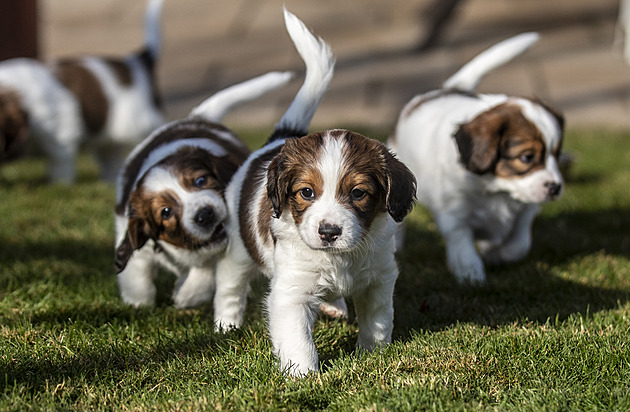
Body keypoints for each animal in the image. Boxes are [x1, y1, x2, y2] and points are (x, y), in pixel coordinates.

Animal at [0, 0, 165, 183]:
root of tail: (136, 60)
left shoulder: (60, 129)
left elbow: (60, 161)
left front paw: (59, 184)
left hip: (140, 122)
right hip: (109, 138)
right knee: (111, 157)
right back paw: (110, 181)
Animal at [116, 71, 294, 308]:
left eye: (200, 181)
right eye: (166, 212)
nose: (205, 215)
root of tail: (197, 117)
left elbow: (205, 273)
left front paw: (186, 295)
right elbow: (135, 267)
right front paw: (137, 301)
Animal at [217, 8, 420, 376]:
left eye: (358, 193)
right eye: (306, 193)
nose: (328, 232)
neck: (339, 258)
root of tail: (279, 140)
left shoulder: (380, 279)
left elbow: (378, 322)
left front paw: (372, 355)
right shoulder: (291, 292)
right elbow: (298, 339)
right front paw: (304, 376)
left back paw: (334, 305)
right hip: (239, 249)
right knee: (229, 283)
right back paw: (226, 324)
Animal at [392, 32, 564, 284]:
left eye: (557, 154)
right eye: (527, 158)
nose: (555, 188)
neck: (495, 188)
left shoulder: (527, 208)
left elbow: (520, 242)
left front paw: (497, 254)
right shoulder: (454, 214)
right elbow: (463, 244)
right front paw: (471, 273)